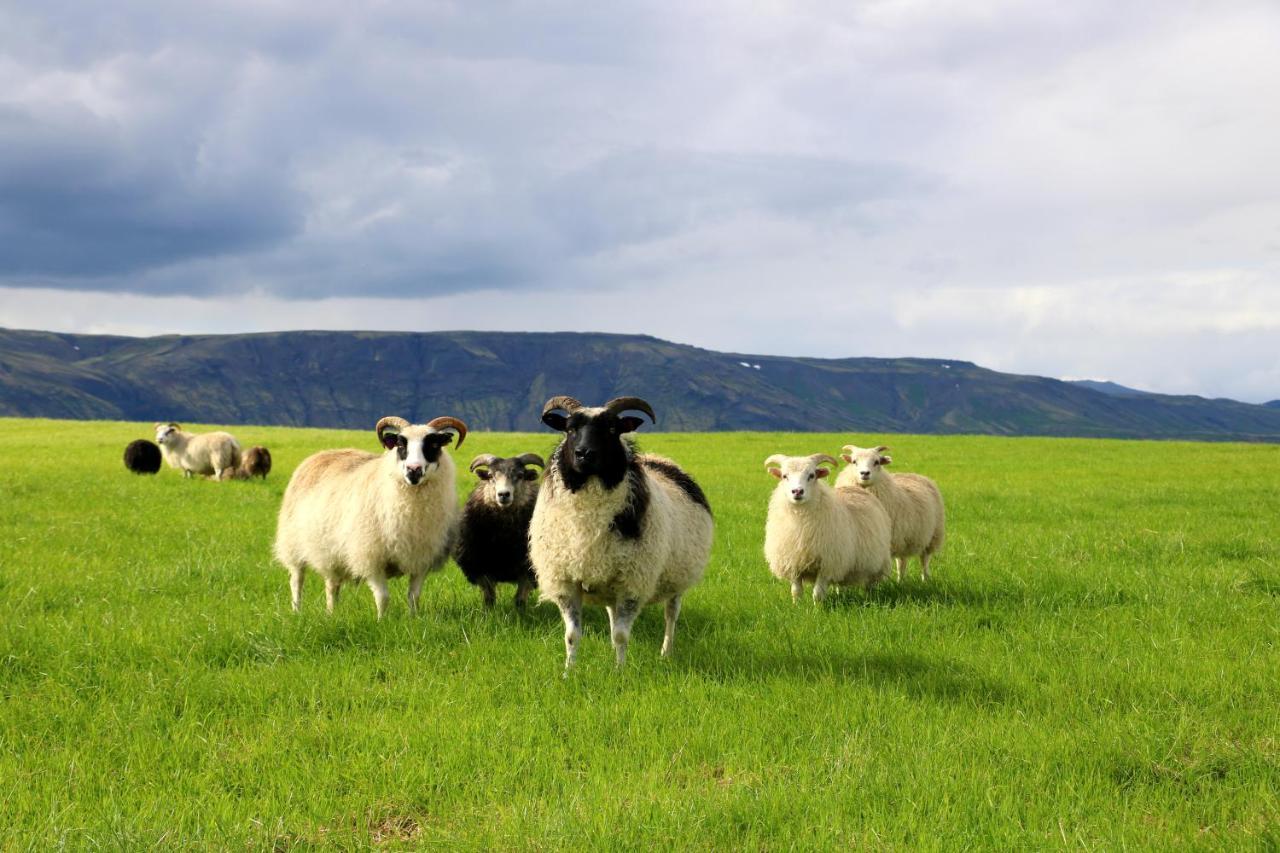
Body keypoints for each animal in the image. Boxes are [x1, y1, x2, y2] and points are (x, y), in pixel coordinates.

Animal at [272, 412, 468, 617]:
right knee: (297, 579)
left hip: (331, 552)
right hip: (292, 544)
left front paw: (413, 618)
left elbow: (414, 596)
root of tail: (323, 453)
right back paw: (297, 610)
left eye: (434, 445)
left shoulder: (421, 558)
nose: (413, 470)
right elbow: (383, 597)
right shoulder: (371, 557)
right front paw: (381, 620)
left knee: (332, 585)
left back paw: (331, 613)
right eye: (400, 445)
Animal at [455, 450, 545, 604]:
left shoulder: (528, 568)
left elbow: (520, 598)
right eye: (490, 475)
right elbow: (489, 597)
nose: (503, 494)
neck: (504, 539)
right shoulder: (479, 566)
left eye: (520, 475)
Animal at [524, 394, 716, 666]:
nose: (584, 454)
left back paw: (666, 652)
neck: (588, 520)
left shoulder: (631, 583)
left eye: (612, 430)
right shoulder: (566, 581)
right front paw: (569, 670)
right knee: (613, 616)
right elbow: (572, 636)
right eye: (570, 429)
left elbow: (622, 636)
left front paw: (620, 670)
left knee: (671, 615)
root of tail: (661, 460)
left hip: (677, 579)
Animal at [757, 448, 890, 601]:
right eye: (784, 476)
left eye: (812, 475)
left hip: (876, 562)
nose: (797, 491)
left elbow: (818, 594)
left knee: (871, 584)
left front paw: (818, 607)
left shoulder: (827, 563)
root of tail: (857, 488)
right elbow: (796, 592)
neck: (800, 520)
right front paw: (797, 605)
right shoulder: (793, 562)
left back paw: (871, 598)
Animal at [834, 445, 947, 578]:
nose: (865, 473)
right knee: (902, 562)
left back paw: (925, 579)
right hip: (903, 539)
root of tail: (913, 474)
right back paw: (901, 580)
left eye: (877, 462)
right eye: (854, 461)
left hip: (932, 536)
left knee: (924, 560)